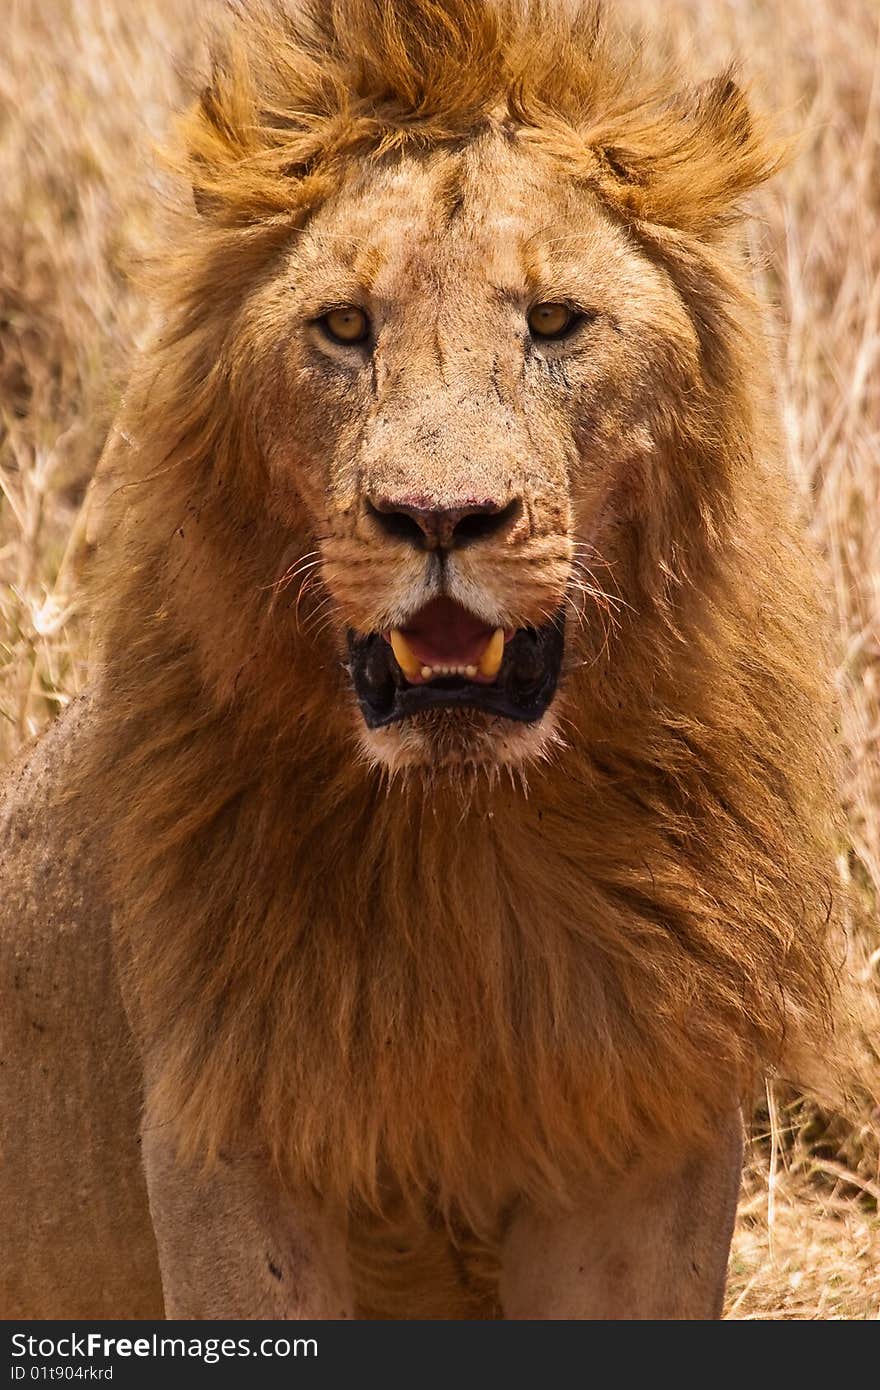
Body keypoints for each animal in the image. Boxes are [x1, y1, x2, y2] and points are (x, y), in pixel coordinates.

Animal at [0, 0, 839, 1317]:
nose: (441, 517)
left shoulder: (643, 1136)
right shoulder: (228, 1138)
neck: (465, 845)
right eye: (345, 328)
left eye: (553, 321)